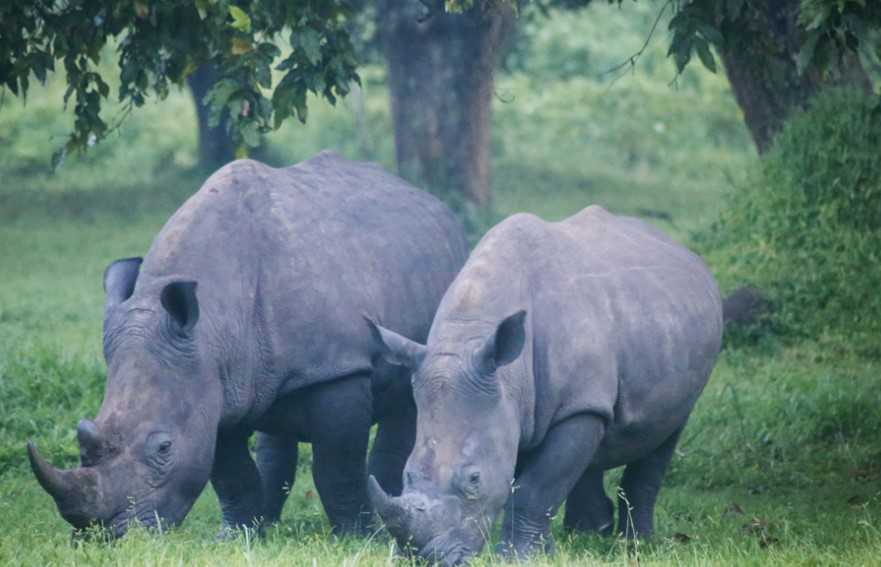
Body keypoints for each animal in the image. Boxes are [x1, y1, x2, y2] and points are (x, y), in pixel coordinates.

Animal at [25, 152, 468, 540]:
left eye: (164, 448)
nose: (105, 536)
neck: (211, 325)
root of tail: (431, 200)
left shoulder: (335, 368)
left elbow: (336, 466)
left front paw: (358, 538)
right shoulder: (210, 384)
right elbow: (229, 472)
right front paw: (235, 538)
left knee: (402, 403)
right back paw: (268, 521)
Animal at [368, 204, 720, 564]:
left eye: (474, 479)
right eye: (407, 475)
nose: (425, 559)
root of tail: (684, 253)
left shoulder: (564, 405)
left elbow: (534, 488)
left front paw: (517, 558)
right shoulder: (515, 407)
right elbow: (537, 480)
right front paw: (545, 552)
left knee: (665, 432)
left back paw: (636, 544)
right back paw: (588, 533)